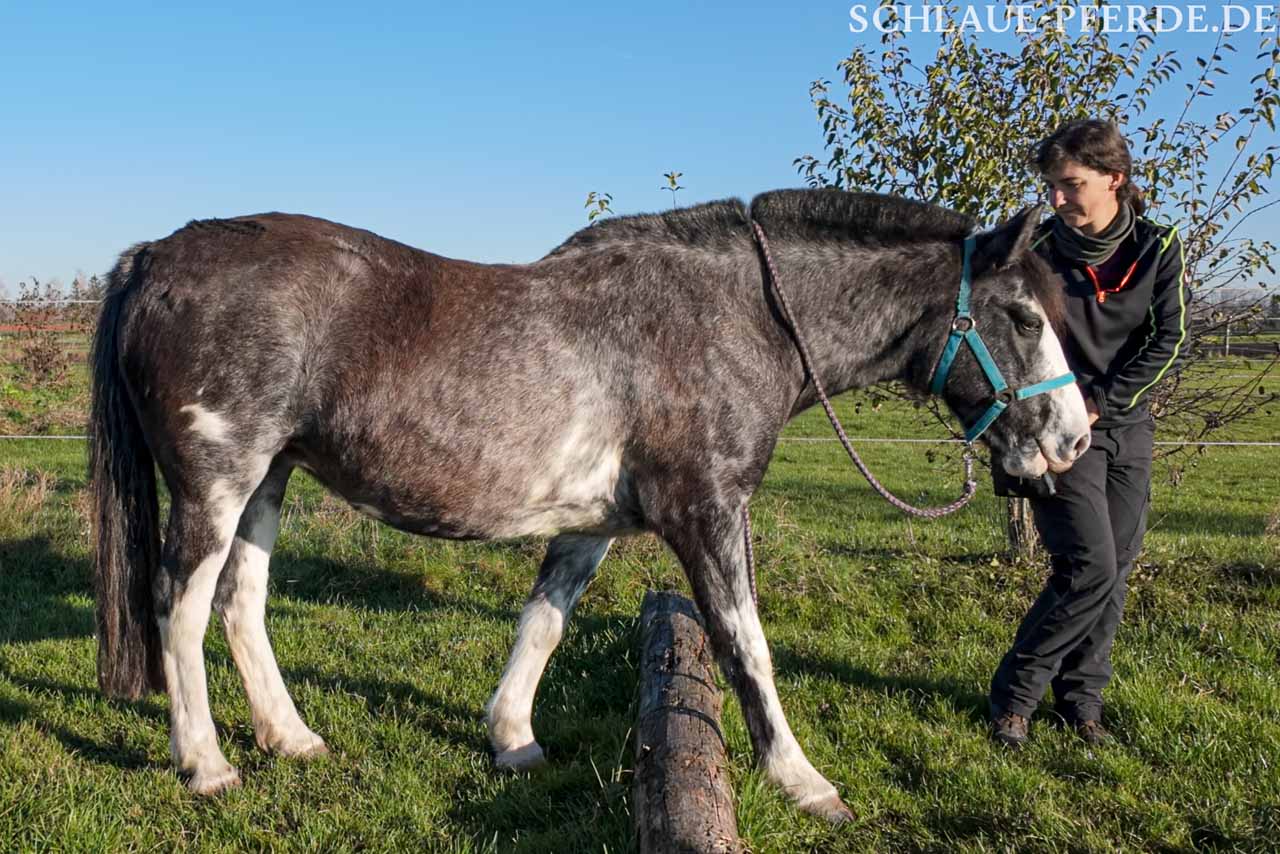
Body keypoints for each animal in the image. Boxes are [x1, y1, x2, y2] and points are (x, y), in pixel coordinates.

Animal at [92, 192, 1090, 819]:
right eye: (1025, 316)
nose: (1073, 440)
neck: (738, 317)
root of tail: (154, 257)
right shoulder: (708, 511)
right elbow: (747, 648)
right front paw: (803, 782)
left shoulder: (592, 527)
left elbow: (543, 623)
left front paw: (512, 741)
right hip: (216, 482)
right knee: (179, 608)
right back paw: (207, 765)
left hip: (270, 478)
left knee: (241, 603)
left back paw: (291, 738)